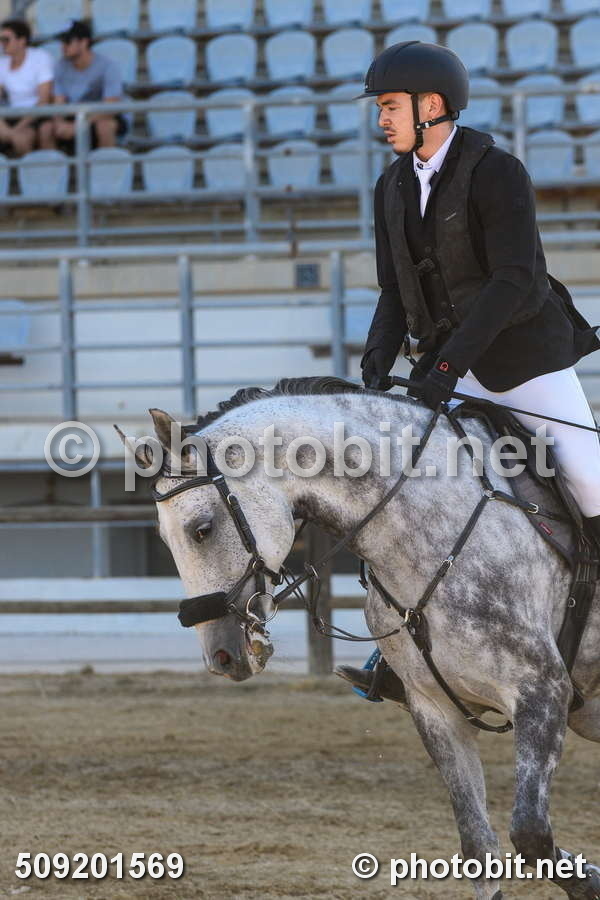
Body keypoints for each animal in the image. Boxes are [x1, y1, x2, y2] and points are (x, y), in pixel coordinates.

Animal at [117, 376, 600, 900]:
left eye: (202, 529)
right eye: (165, 541)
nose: (221, 656)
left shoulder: (542, 694)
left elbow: (531, 834)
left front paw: (590, 880)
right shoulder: (437, 710)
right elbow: (479, 847)